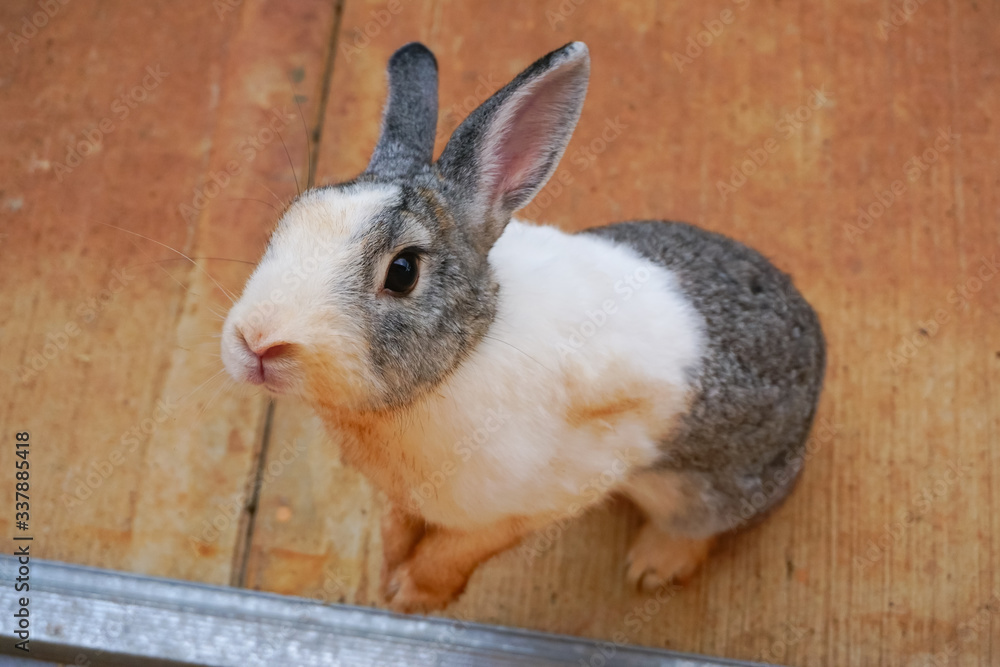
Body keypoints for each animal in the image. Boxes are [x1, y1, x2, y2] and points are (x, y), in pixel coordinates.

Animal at [220, 41, 826, 613]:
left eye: (403, 271)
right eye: (287, 222)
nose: (258, 341)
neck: (465, 354)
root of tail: (814, 335)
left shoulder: (537, 499)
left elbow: (458, 550)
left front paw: (414, 595)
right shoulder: (404, 498)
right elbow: (398, 526)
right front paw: (388, 574)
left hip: (706, 489)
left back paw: (653, 566)